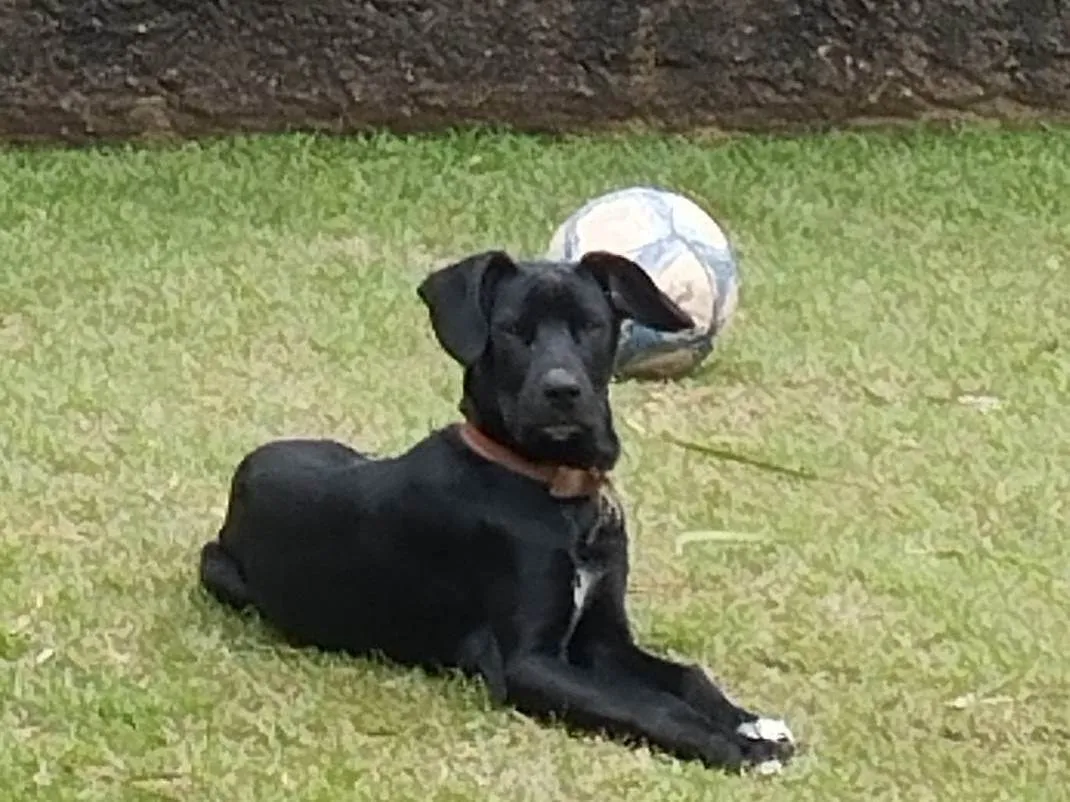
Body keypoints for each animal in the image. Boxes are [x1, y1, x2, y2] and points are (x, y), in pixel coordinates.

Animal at [198, 249, 796, 774]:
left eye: (591, 325)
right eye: (512, 330)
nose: (562, 391)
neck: (552, 487)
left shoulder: (603, 641)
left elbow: (687, 677)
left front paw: (749, 721)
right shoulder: (527, 662)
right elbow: (648, 705)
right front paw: (739, 748)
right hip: (217, 570)